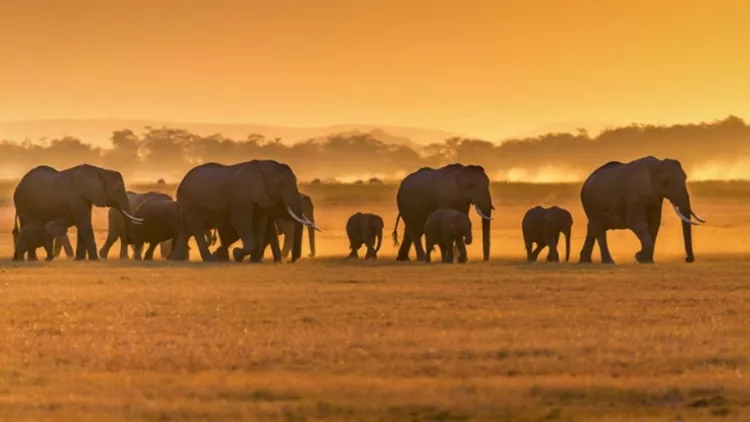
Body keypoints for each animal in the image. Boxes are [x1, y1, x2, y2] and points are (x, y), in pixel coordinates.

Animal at [13, 163, 145, 258]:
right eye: (118, 190)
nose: (129, 240)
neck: (98, 170)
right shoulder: (76, 196)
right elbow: (84, 223)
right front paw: (95, 260)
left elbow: (84, 223)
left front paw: (80, 259)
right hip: (23, 203)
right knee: (27, 225)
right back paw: (32, 259)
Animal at [170, 160, 318, 262]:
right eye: (280, 185)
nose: (290, 261)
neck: (262, 166)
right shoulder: (241, 195)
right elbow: (241, 222)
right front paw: (237, 255)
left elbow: (259, 225)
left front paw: (255, 260)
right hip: (190, 204)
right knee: (196, 228)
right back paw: (210, 259)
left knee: (186, 230)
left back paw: (177, 259)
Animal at [580, 157, 708, 264]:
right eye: (666, 181)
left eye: (685, 178)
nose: (687, 259)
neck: (656, 165)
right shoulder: (634, 195)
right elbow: (635, 222)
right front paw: (639, 256)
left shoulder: (655, 198)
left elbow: (655, 223)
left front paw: (646, 260)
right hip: (591, 203)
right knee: (598, 228)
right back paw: (608, 262)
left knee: (592, 227)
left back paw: (585, 261)